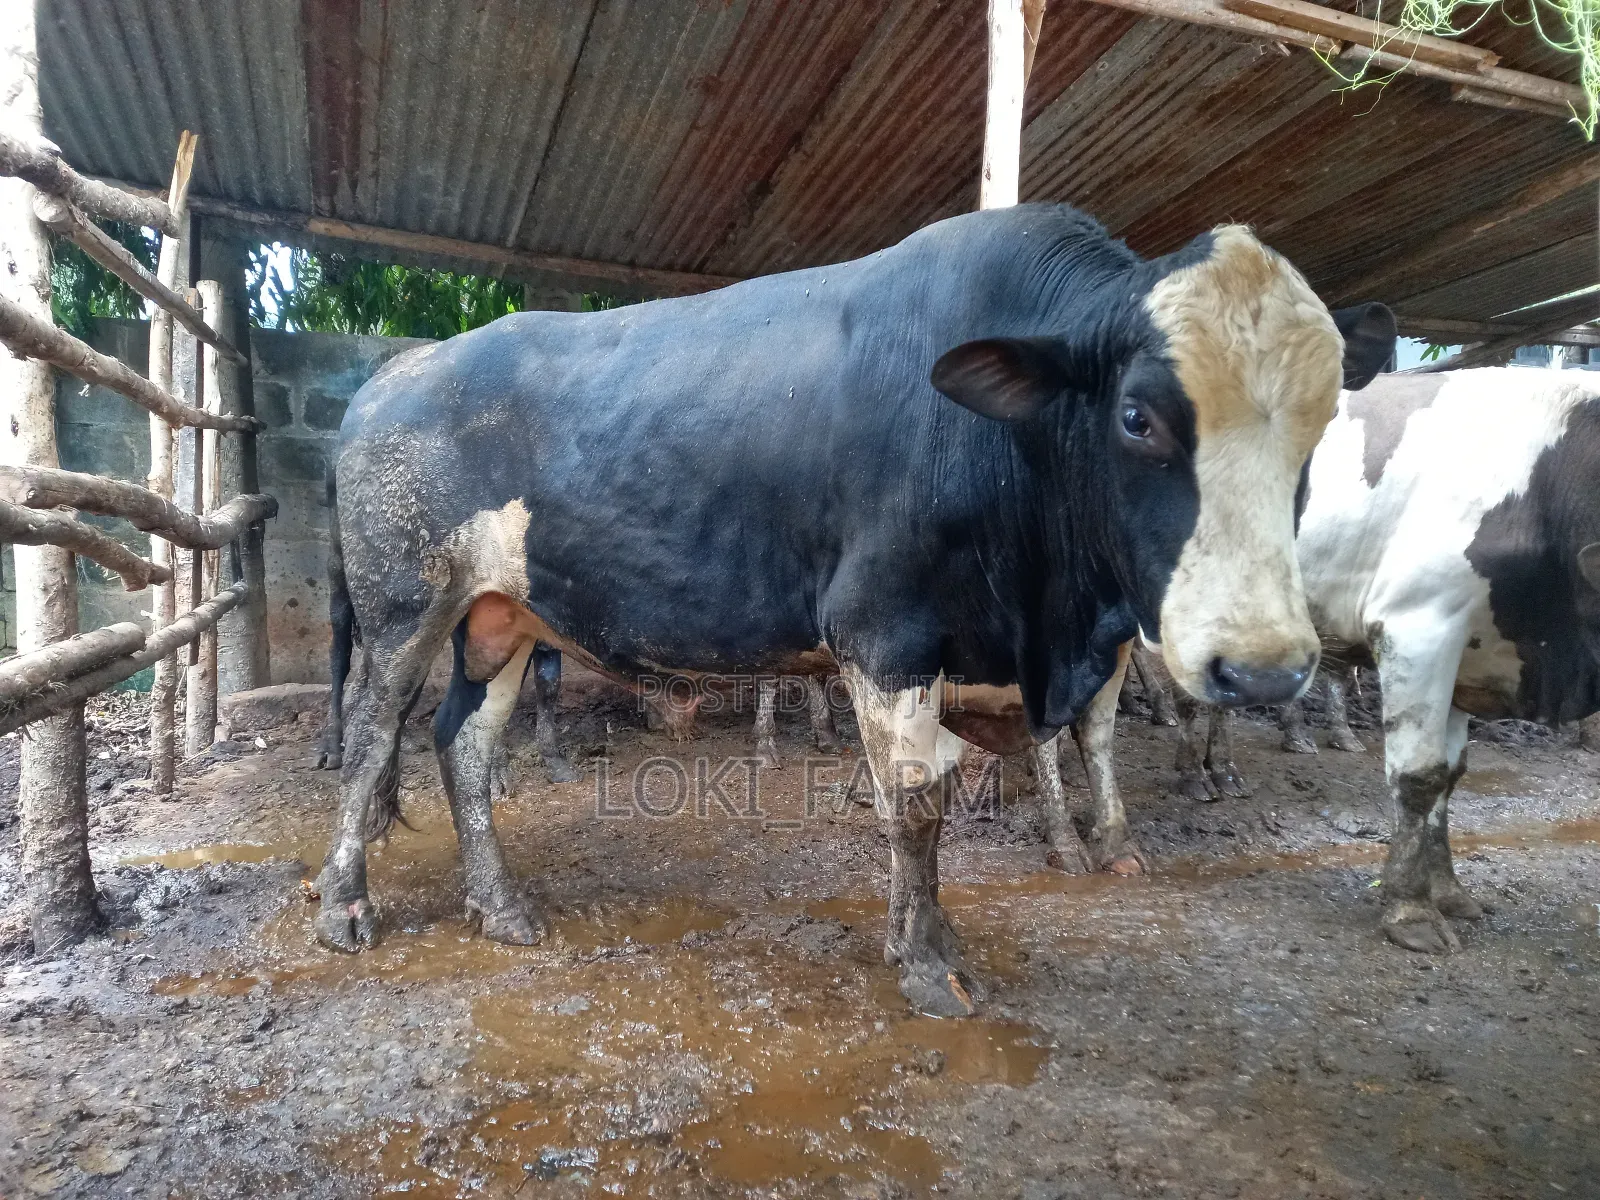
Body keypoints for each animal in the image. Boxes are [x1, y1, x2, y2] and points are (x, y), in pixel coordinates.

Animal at [312, 202, 1395, 1016]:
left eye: (1321, 422)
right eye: (1137, 415)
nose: (1262, 667)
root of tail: (395, 374)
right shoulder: (886, 634)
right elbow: (917, 802)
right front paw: (926, 962)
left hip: (499, 616)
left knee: (461, 745)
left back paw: (499, 907)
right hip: (405, 603)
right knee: (370, 735)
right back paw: (343, 907)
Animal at [1056, 368, 1600, 954]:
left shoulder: (1468, 650)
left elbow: (1450, 775)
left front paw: (1449, 891)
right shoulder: (1418, 622)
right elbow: (1419, 776)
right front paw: (1411, 910)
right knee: (1116, 715)